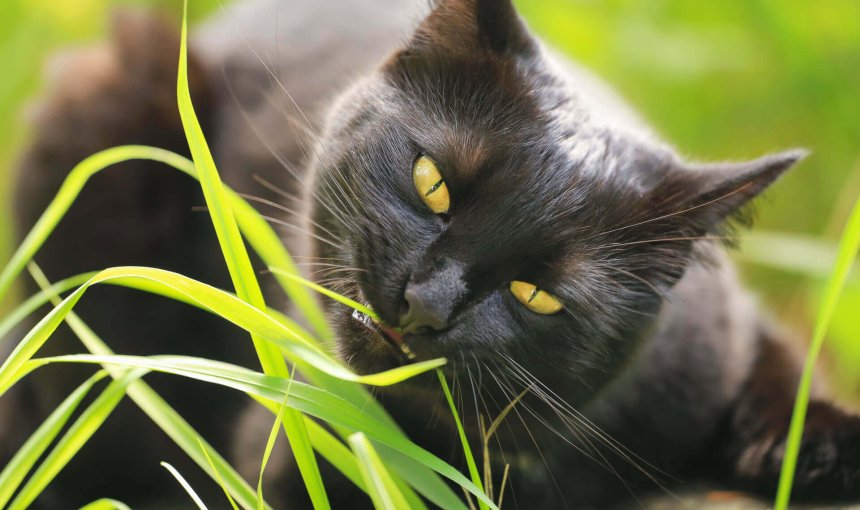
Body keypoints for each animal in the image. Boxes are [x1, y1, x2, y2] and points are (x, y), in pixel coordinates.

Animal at [1, 0, 860, 508]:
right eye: (432, 183)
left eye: (538, 294)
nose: (426, 301)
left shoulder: (725, 346)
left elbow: (783, 386)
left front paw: (822, 453)